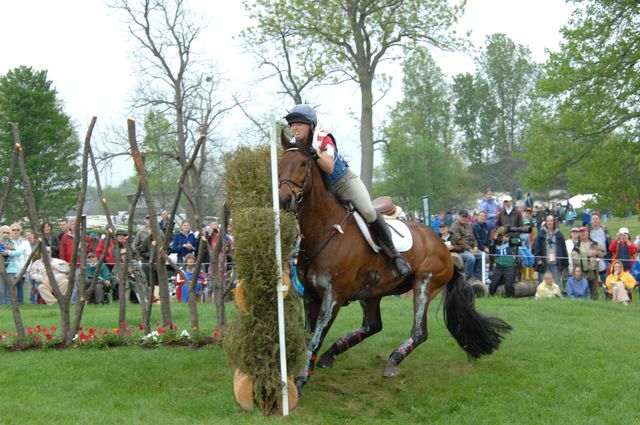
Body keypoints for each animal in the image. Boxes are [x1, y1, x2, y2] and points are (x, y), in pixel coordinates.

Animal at [278, 131, 512, 392]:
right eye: (279, 163)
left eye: (304, 163)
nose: (283, 199)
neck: (327, 230)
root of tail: (444, 246)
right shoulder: (310, 294)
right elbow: (308, 336)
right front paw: (300, 373)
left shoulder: (334, 297)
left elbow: (315, 338)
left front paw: (300, 380)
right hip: (372, 292)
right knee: (372, 326)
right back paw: (332, 354)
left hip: (424, 283)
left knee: (419, 332)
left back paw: (392, 361)